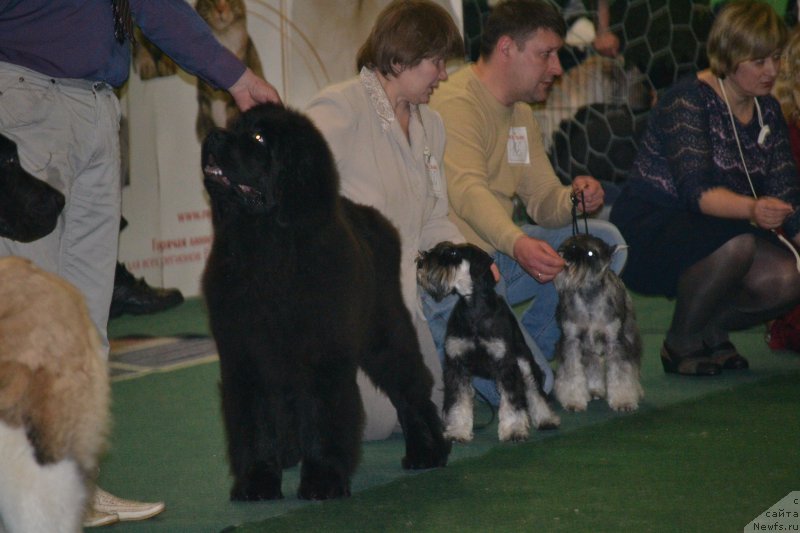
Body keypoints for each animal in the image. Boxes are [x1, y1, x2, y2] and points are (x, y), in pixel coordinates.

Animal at [200, 103, 450, 498]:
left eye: (258, 138)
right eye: (233, 127)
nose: (212, 136)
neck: (264, 245)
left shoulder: (320, 352)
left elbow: (321, 414)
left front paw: (322, 480)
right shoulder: (246, 353)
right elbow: (255, 420)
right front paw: (258, 480)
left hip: (383, 334)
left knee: (410, 388)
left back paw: (428, 450)